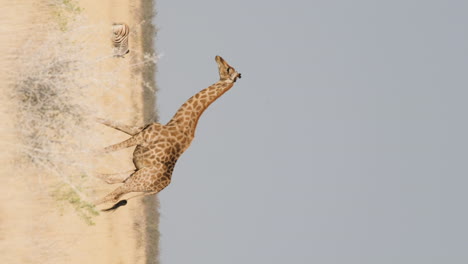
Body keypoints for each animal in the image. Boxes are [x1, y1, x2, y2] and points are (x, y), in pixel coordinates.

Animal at [95, 55, 241, 210]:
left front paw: (90, 152)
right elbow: (110, 123)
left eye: (228, 69)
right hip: (135, 176)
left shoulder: (142, 136)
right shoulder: (139, 130)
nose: (218, 57)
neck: (176, 122)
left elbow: (109, 148)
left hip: (136, 180)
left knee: (112, 194)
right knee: (109, 181)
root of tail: (158, 189)